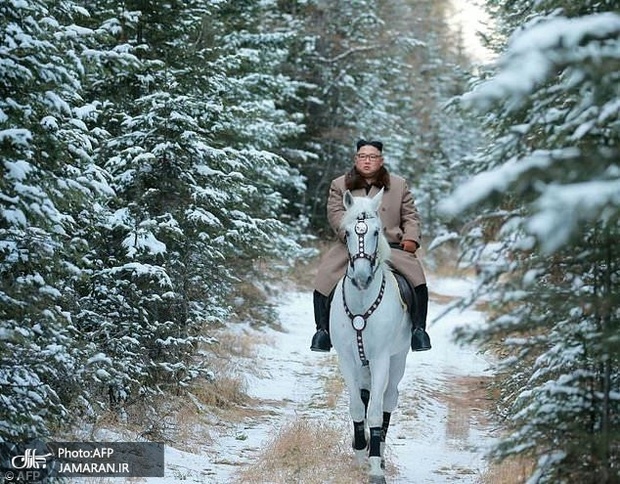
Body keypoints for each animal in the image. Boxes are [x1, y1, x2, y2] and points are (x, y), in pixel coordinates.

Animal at [330, 189, 412, 484]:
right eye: (347, 233)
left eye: (377, 232)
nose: (362, 277)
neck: (362, 302)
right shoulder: (346, 359)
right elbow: (357, 406)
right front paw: (359, 453)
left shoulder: (380, 360)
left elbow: (376, 412)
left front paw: (375, 467)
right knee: (365, 396)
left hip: (398, 360)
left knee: (388, 400)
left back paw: (381, 452)